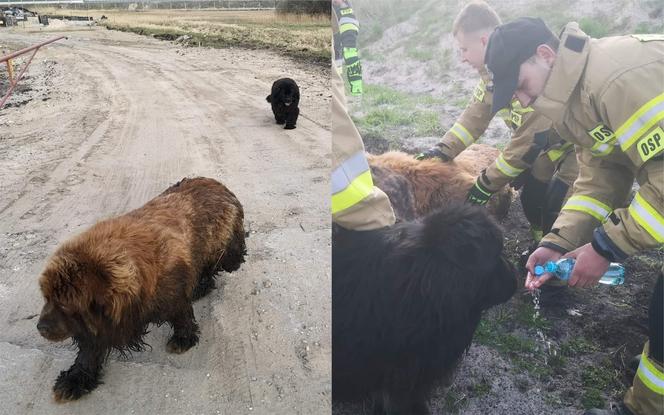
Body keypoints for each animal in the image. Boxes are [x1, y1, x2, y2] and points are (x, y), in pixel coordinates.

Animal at [35, 176, 246, 404]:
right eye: (46, 298)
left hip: (225, 252)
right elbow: (88, 352)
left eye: (65, 305)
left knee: (221, 261)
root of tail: (216, 183)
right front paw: (76, 379)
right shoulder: (96, 325)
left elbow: (182, 316)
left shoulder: (173, 296)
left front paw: (183, 338)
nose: (40, 328)